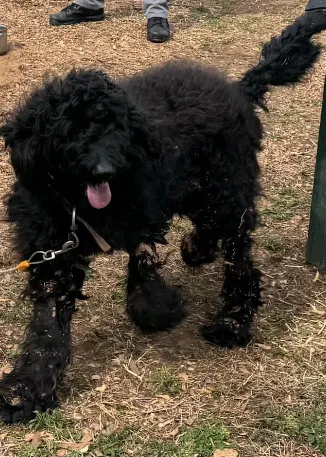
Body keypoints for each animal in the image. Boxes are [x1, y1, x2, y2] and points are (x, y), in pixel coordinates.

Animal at [0, 12, 324, 422]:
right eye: (69, 130)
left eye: (114, 126)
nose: (104, 170)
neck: (81, 203)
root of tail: (239, 88)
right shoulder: (53, 252)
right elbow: (47, 327)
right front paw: (29, 389)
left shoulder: (144, 214)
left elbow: (142, 265)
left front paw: (157, 309)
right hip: (201, 192)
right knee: (210, 231)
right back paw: (197, 249)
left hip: (228, 195)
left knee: (240, 260)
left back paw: (231, 322)